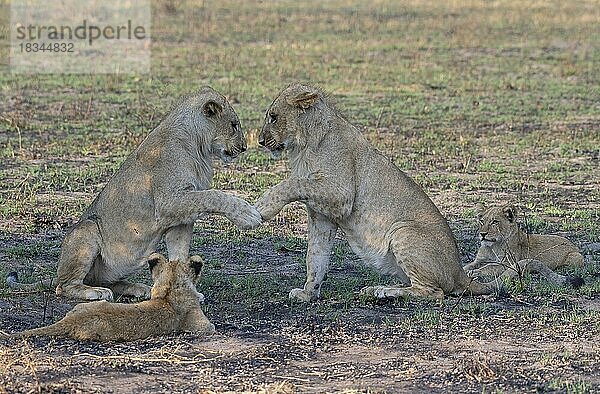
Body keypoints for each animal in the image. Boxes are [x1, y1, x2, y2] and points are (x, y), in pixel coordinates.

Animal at [6, 87, 260, 302]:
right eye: (234, 125)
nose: (244, 147)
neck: (199, 148)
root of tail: (57, 271)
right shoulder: (169, 202)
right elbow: (214, 195)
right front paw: (247, 214)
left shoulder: (180, 216)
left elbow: (179, 254)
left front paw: (187, 291)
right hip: (87, 229)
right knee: (64, 286)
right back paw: (96, 293)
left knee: (103, 280)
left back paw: (139, 289)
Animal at [254, 81, 516, 300]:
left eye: (273, 117)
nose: (260, 141)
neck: (304, 145)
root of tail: (460, 272)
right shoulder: (322, 215)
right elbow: (315, 256)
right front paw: (309, 293)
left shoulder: (341, 194)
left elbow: (292, 183)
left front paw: (263, 206)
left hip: (403, 231)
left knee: (434, 293)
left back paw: (380, 291)